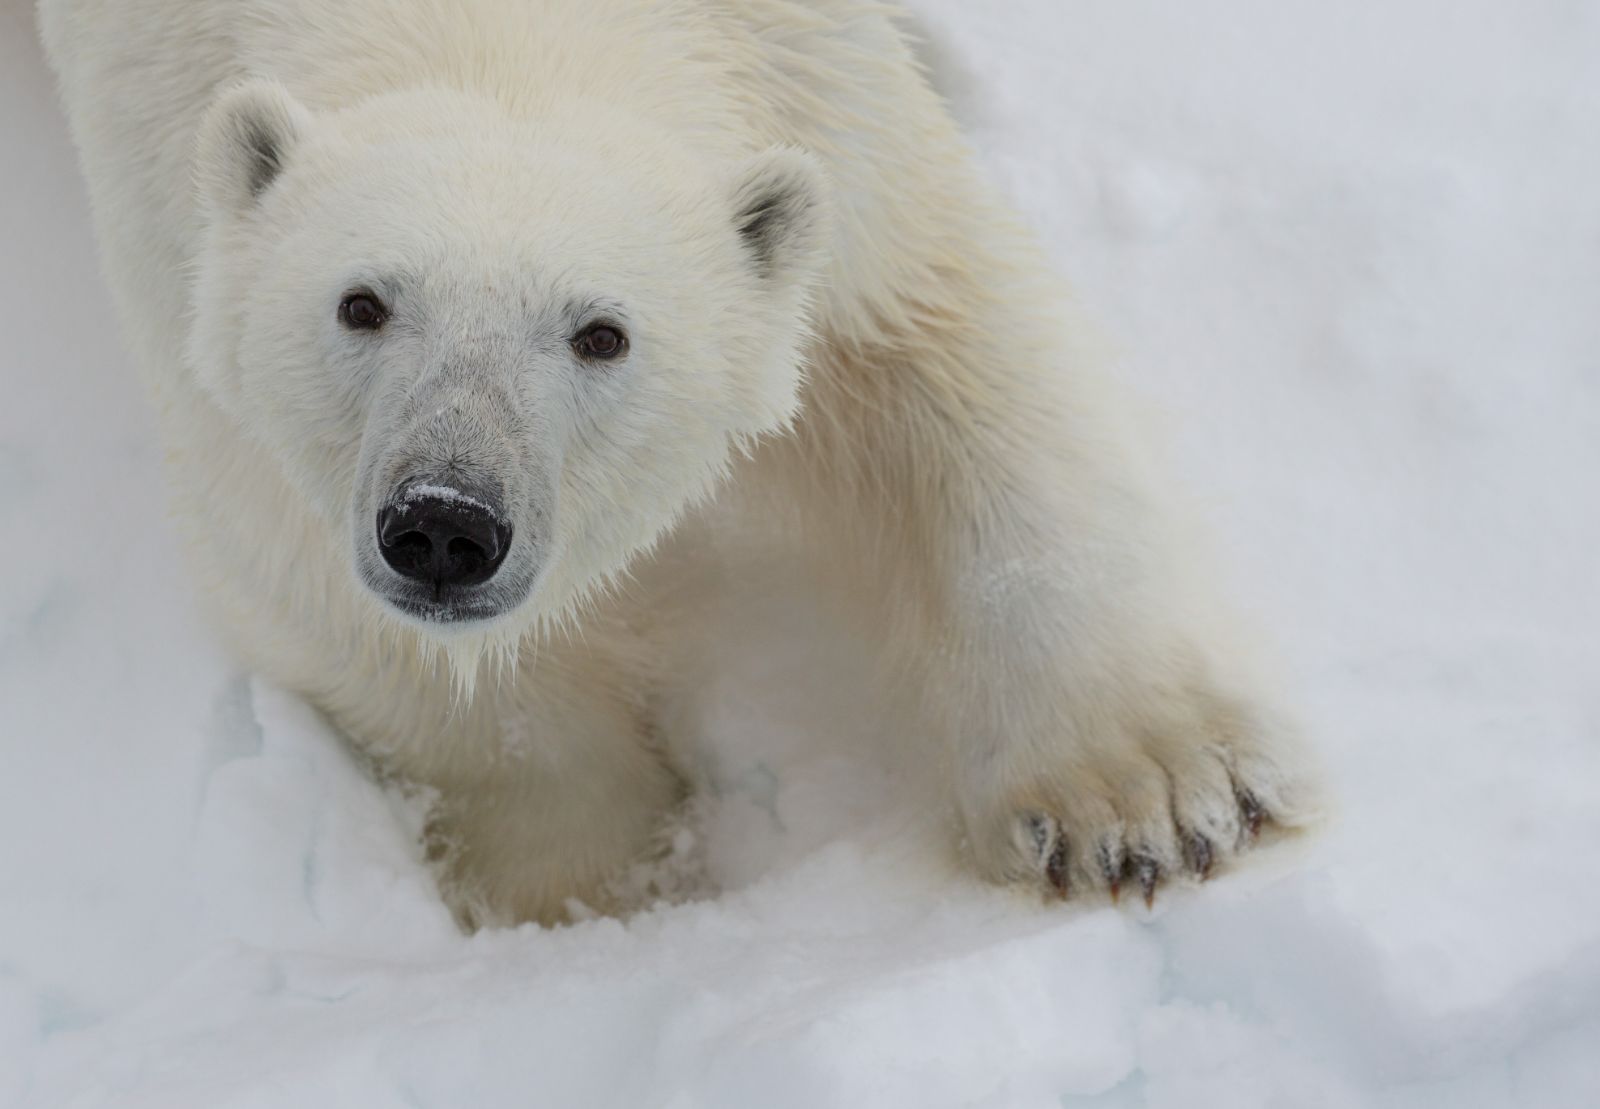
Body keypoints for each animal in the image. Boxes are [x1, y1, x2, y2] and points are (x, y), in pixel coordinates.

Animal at [41, 0, 1320, 927]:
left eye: (600, 331)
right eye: (361, 302)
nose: (447, 523)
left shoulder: (820, 95)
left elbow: (952, 359)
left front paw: (1151, 800)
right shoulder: (171, 223)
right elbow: (315, 579)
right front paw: (589, 889)